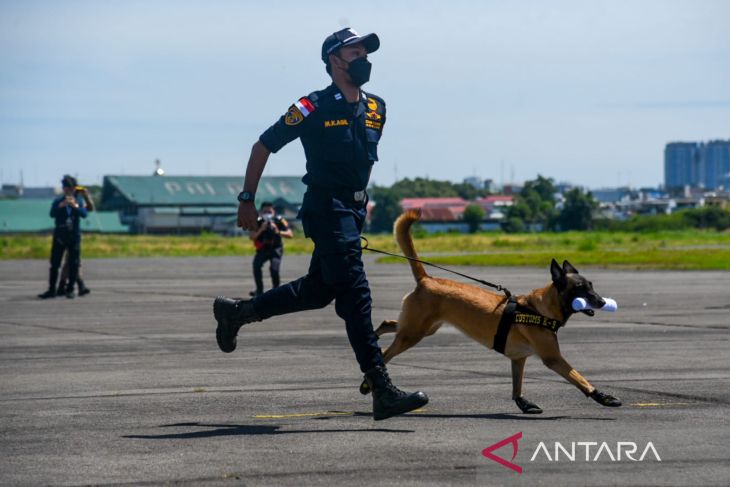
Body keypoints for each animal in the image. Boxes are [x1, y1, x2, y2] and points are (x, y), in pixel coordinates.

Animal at [360, 211, 620, 416]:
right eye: (580, 288)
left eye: (591, 285)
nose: (601, 301)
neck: (538, 308)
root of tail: (427, 279)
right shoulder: (553, 358)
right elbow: (579, 378)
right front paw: (603, 397)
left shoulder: (518, 359)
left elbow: (517, 386)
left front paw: (523, 404)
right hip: (414, 333)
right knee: (385, 353)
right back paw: (367, 381)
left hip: (422, 327)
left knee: (387, 323)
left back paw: (374, 336)